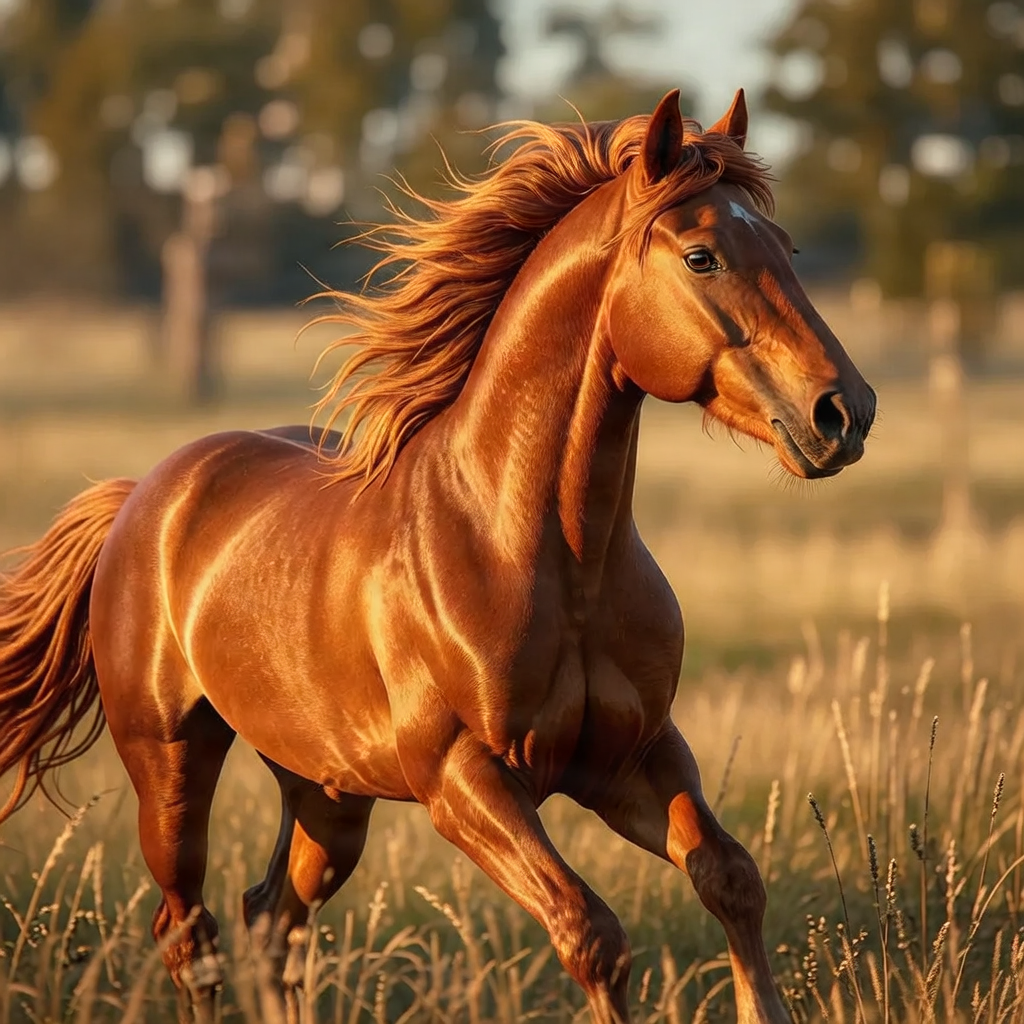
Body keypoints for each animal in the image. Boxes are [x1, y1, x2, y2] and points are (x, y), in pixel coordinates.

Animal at [0, 89, 875, 1024]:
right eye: (702, 256)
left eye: (785, 247)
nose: (842, 412)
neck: (537, 554)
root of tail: (143, 496)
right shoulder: (464, 782)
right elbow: (592, 934)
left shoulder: (633, 757)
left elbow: (730, 878)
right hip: (169, 763)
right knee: (189, 935)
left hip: (326, 792)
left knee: (272, 921)